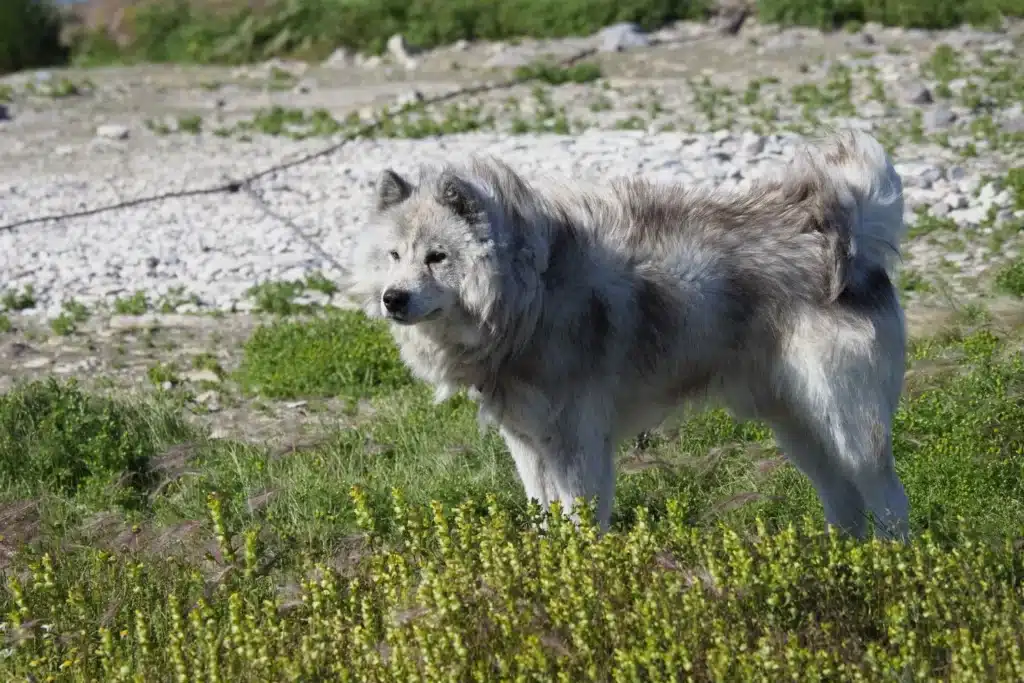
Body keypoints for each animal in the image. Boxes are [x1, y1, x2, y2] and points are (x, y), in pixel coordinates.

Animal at [346, 127, 913, 540]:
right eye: (394, 256)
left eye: (437, 257)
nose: (392, 298)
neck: (529, 293)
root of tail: (848, 234)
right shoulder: (529, 446)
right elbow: (543, 518)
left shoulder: (577, 444)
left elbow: (579, 522)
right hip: (796, 424)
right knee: (844, 500)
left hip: (846, 423)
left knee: (887, 499)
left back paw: (894, 568)